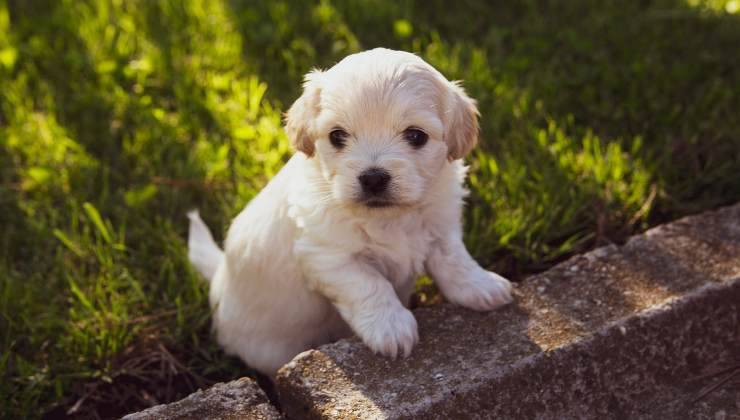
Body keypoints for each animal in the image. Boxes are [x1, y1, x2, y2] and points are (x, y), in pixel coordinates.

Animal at [188, 47, 512, 376]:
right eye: (337, 136)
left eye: (416, 136)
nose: (373, 178)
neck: (389, 218)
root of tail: (219, 278)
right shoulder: (328, 256)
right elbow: (370, 284)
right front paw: (391, 327)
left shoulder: (441, 226)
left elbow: (454, 260)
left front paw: (481, 286)